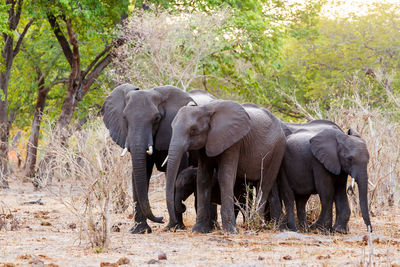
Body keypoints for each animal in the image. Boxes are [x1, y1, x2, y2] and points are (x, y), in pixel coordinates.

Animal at [102, 84, 216, 234]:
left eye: (156, 118)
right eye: (125, 118)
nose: (160, 218)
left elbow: (177, 172)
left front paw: (174, 227)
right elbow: (141, 172)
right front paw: (140, 231)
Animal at [166, 100, 288, 234]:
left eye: (193, 130)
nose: (183, 207)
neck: (205, 108)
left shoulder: (233, 142)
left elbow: (225, 177)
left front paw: (231, 232)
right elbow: (203, 178)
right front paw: (198, 230)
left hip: (278, 149)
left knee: (264, 185)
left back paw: (256, 225)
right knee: (269, 188)